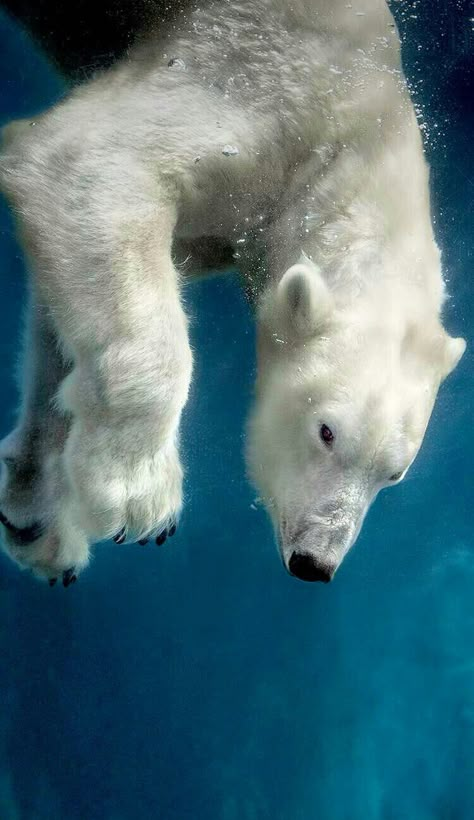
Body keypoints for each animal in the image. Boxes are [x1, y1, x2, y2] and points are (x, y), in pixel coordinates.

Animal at [0, 0, 464, 584]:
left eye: (394, 473)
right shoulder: (251, 75)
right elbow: (85, 161)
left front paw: (39, 518)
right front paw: (140, 495)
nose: (315, 562)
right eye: (326, 431)